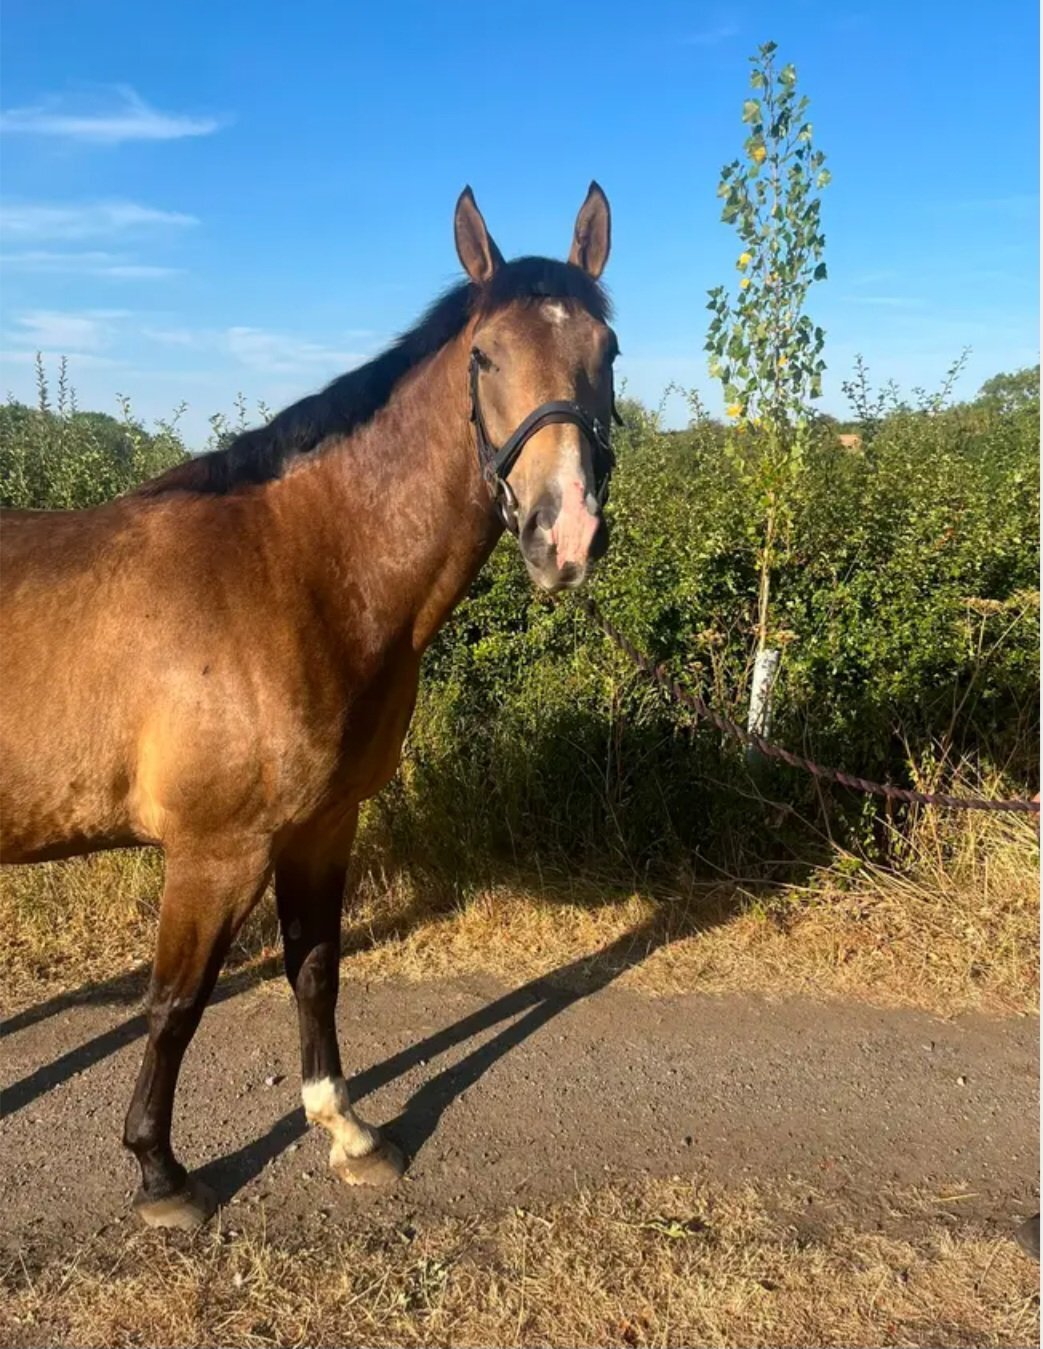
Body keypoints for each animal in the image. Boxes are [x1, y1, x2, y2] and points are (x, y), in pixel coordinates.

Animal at [0, 183, 618, 1230]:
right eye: (484, 355)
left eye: (606, 350)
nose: (563, 532)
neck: (298, 571)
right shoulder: (215, 851)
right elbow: (174, 1004)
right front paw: (160, 1173)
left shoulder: (324, 825)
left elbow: (316, 970)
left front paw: (347, 1131)